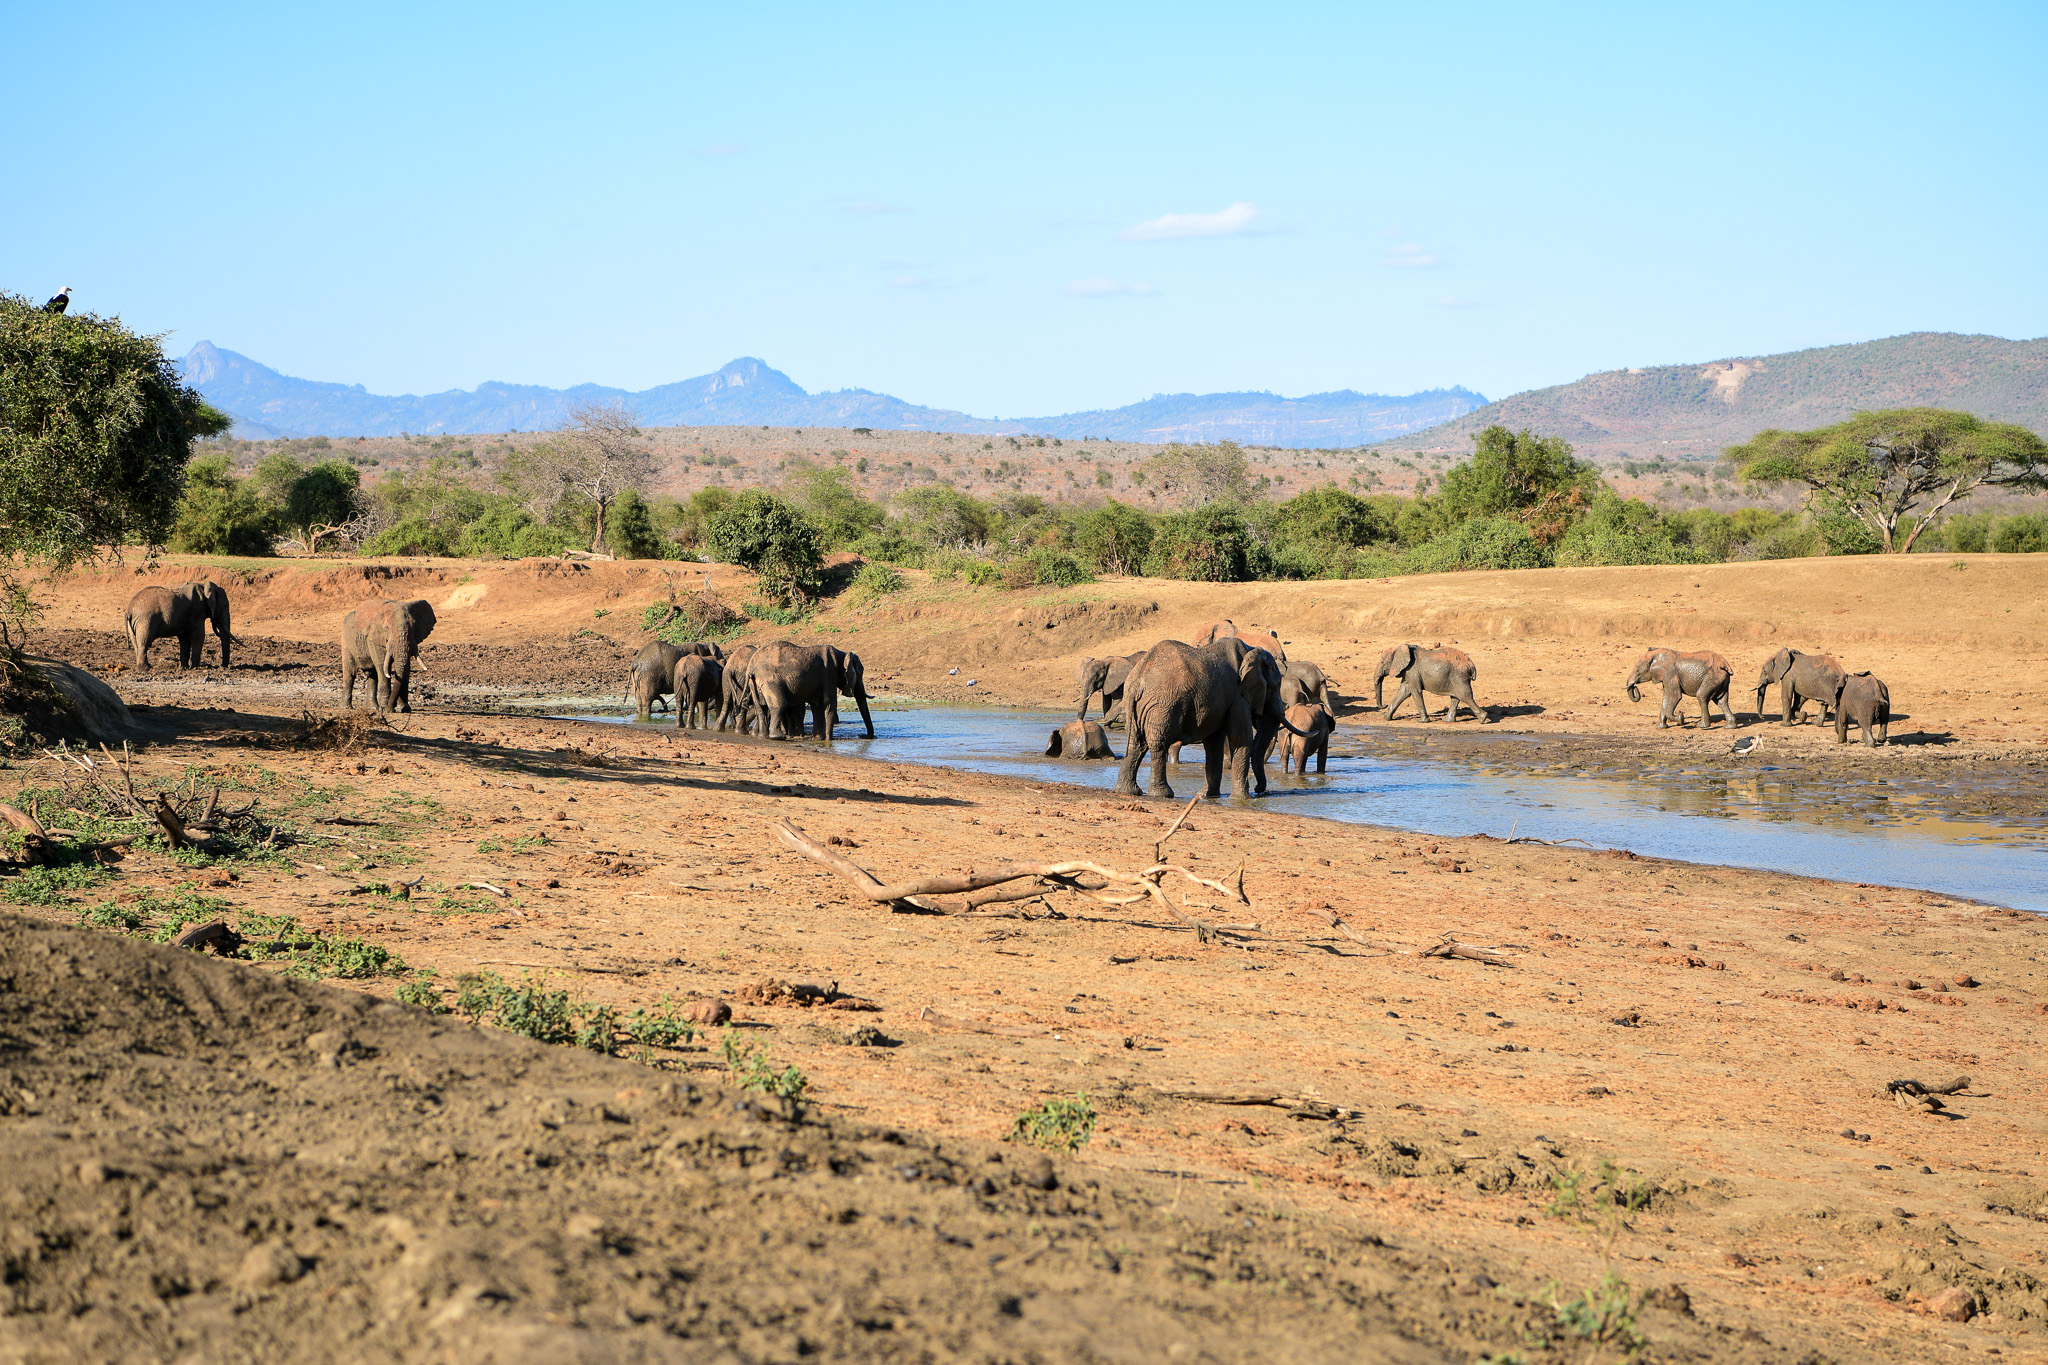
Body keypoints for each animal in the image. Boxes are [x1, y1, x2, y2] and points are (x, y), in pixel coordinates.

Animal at [1115, 636, 1305, 800]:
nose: (1260, 791)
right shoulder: (1238, 694)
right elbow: (1240, 739)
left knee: (1136, 743)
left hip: (1140, 706)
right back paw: (1163, 794)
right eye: (1277, 685)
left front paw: (1208, 795)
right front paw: (1242, 799)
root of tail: (1139, 679)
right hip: (1163, 704)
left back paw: (1129, 791)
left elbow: (1214, 743)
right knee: (1158, 744)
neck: (1251, 651)